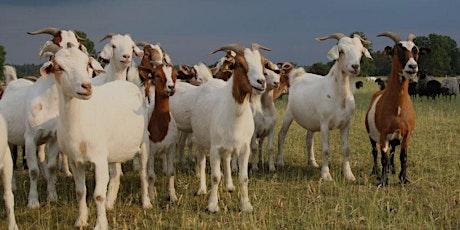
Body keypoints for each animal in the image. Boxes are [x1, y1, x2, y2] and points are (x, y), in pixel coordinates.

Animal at [39, 44, 151, 229]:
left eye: (87, 65)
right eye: (59, 67)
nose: (86, 87)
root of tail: (128, 83)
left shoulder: (99, 160)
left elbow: (98, 194)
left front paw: (101, 224)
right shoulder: (75, 161)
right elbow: (80, 191)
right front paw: (81, 220)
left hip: (143, 144)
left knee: (143, 174)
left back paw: (146, 203)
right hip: (114, 151)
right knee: (115, 175)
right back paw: (110, 204)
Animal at [190, 42, 268, 212]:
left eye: (263, 62)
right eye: (239, 64)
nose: (261, 82)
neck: (236, 114)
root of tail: (209, 81)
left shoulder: (244, 147)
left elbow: (244, 177)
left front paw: (246, 205)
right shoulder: (214, 147)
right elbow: (215, 176)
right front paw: (212, 206)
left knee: (226, 160)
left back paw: (229, 186)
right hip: (200, 140)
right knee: (201, 162)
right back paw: (201, 190)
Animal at [276, 33, 374, 181]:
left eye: (361, 51)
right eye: (341, 51)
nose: (355, 66)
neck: (340, 97)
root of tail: (298, 75)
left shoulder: (346, 124)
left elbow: (346, 149)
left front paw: (349, 175)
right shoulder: (325, 124)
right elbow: (326, 150)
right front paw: (326, 175)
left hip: (311, 121)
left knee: (309, 139)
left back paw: (312, 162)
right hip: (288, 114)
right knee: (282, 135)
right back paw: (280, 161)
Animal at [362, 32, 432, 186]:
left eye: (416, 51)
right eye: (397, 50)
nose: (413, 67)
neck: (398, 109)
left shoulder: (406, 135)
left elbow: (403, 156)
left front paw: (404, 179)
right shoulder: (383, 135)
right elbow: (383, 156)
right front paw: (383, 181)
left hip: (394, 138)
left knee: (392, 152)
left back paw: (392, 170)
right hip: (371, 135)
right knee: (375, 152)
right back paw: (376, 172)